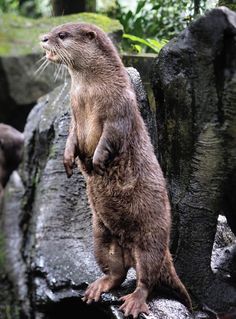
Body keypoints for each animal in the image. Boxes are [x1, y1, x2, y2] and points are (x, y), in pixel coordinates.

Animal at [40, 22, 192, 318]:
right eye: (54, 29)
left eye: (62, 35)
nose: (43, 38)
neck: (89, 93)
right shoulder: (74, 113)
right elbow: (72, 137)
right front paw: (68, 160)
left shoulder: (119, 109)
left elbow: (111, 136)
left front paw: (98, 162)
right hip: (101, 238)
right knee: (117, 273)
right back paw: (98, 287)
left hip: (151, 241)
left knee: (147, 279)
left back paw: (134, 302)